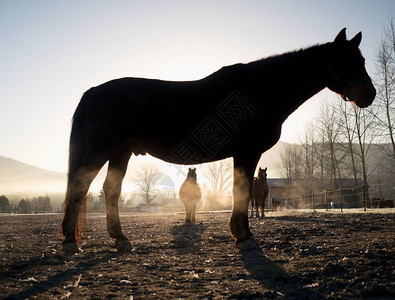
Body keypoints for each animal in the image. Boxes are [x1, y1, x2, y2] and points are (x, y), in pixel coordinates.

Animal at [60, 28, 376, 253]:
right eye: (346, 60)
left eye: (361, 60)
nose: (369, 94)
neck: (261, 90)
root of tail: (93, 91)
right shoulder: (247, 153)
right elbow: (242, 193)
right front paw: (244, 236)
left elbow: (241, 192)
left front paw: (240, 232)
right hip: (100, 149)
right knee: (80, 187)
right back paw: (70, 242)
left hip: (121, 152)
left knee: (110, 190)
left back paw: (120, 239)